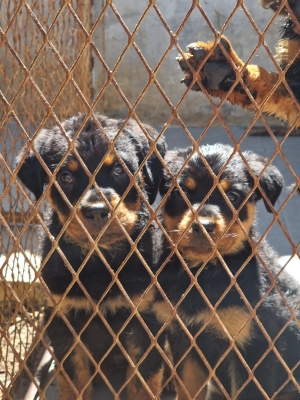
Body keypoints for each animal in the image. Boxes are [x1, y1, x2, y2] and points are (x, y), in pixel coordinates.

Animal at [15, 113, 166, 400]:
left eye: (119, 170)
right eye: (65, 176)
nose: (96, 212)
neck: (98, 260)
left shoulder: (144, 316)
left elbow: (143, 380)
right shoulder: (63, 318)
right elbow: (74, 378)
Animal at [156, 145, 300, 400]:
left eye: (232, 196)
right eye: (182, 192)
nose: (203, 226)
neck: (205, 271)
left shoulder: (254, 346)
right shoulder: (186, 340)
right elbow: (188, 389)